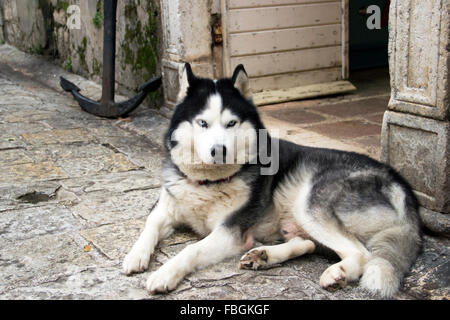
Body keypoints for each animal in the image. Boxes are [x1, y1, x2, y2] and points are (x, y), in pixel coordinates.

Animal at [124, 63, 422, 298]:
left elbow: (191, 251)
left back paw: (336, 273)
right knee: (308, 243)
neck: (208, 183)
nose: (219, 150)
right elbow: (149, 226)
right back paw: (264, 256)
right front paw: (135, 255)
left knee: (361, 253)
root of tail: (401, 186)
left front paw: (164, 274)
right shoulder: (165, 206)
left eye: (231, 123)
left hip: (310, 202)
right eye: (202, 123)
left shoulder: (231, 232)